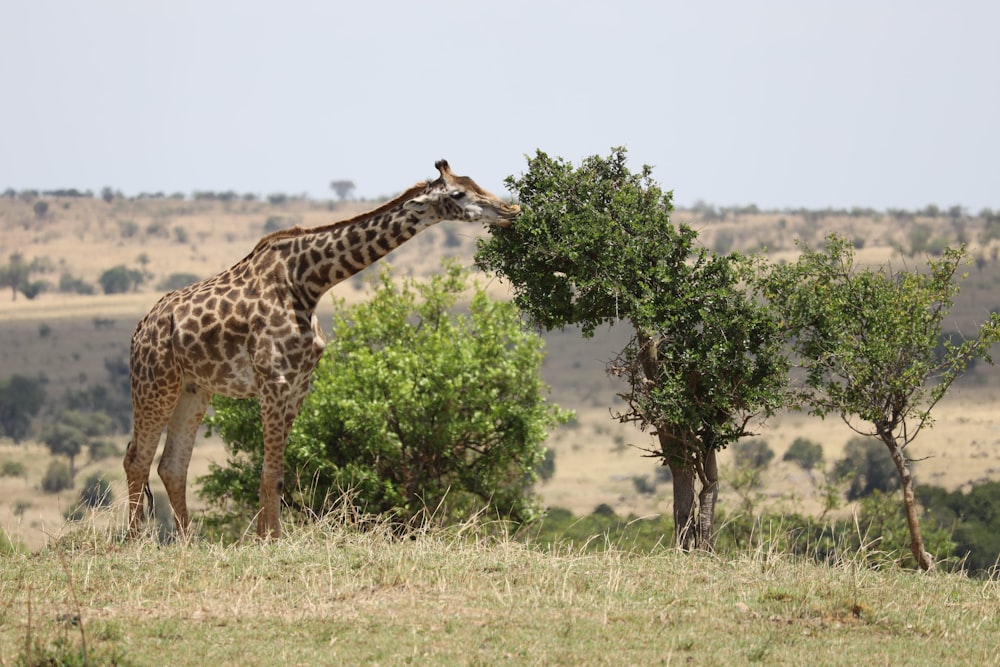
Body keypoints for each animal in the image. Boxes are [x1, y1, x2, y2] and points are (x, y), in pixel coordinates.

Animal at [126, 159, 520, 540]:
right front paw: (268, 541)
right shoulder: (274, 380)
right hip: (156, 383)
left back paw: (187, 542)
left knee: (171, 465)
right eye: (457, 194)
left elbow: (278, 473)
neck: (309, 282)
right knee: (136, 458)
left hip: (194, 388)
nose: (509, 210)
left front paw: (268, 538)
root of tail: (140, 330)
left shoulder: (299, 384)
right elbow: (270, 472)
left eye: (474, 182)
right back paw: (134, 540)